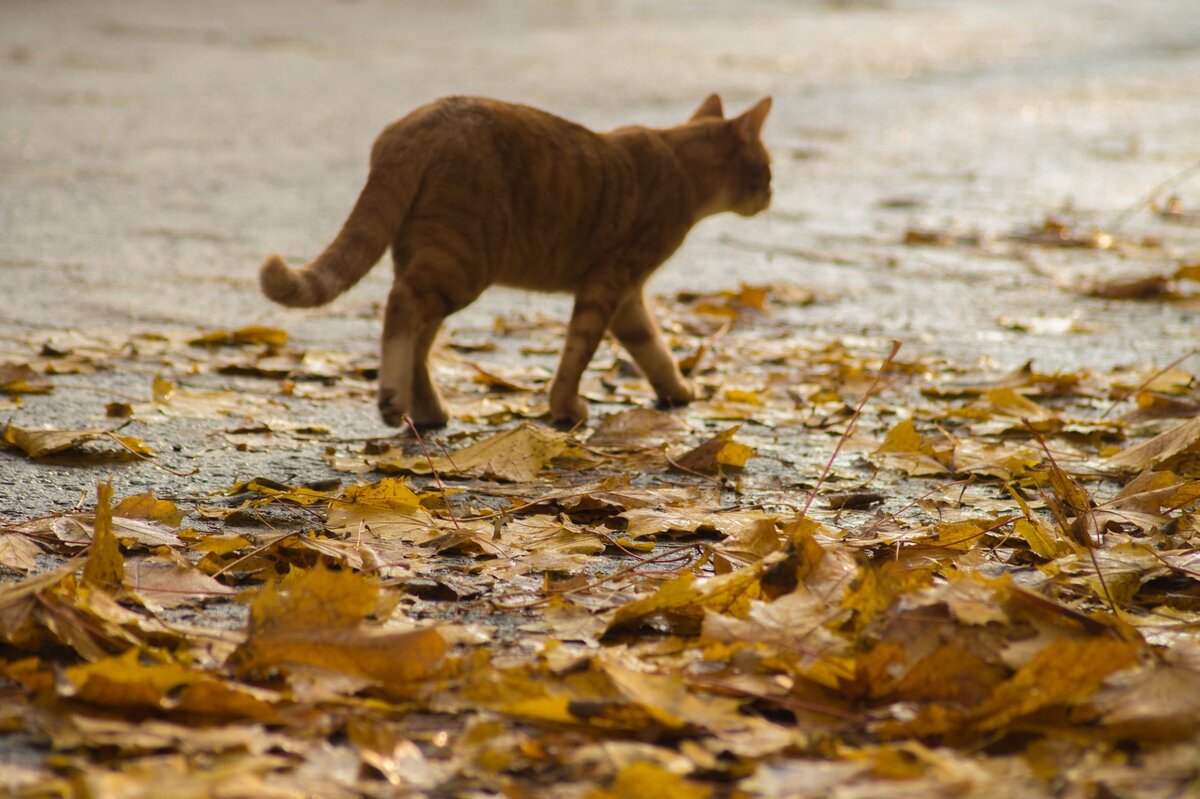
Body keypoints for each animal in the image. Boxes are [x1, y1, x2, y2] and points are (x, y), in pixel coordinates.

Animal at [258, 92, 772, 427]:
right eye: (766, 170)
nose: (770, 195)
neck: (680, 163)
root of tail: (418, 124)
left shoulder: (628, 298)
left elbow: (654, 351)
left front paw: (679, 391)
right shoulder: (609, 283)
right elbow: (579, 351)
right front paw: (565, 409)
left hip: (435, 259)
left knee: (419, 336)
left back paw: (427, 411)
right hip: (462, 264)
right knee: (401, 307)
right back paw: (392, 400)